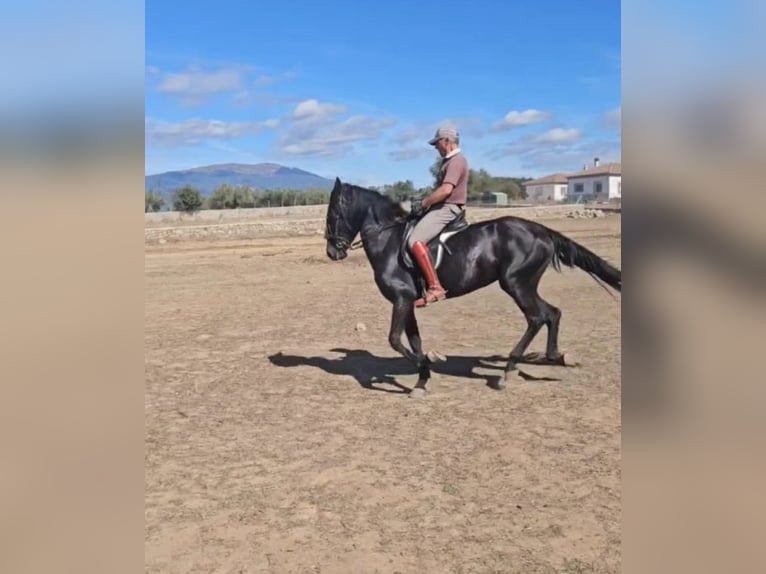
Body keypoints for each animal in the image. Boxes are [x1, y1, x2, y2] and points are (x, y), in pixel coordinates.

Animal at [326, 178, 624, 398]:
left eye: (333, 214)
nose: (332, 253)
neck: (388, 240)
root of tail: (541, 231)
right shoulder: (409, 302)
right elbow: (414, 340)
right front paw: (422, 380)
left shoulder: (401, 299)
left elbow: (395, 340)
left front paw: (425, 368)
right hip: (525, 284)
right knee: (553, 313)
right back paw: (551, 356)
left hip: (516, 284)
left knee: (537, 317)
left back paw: (509, 371)